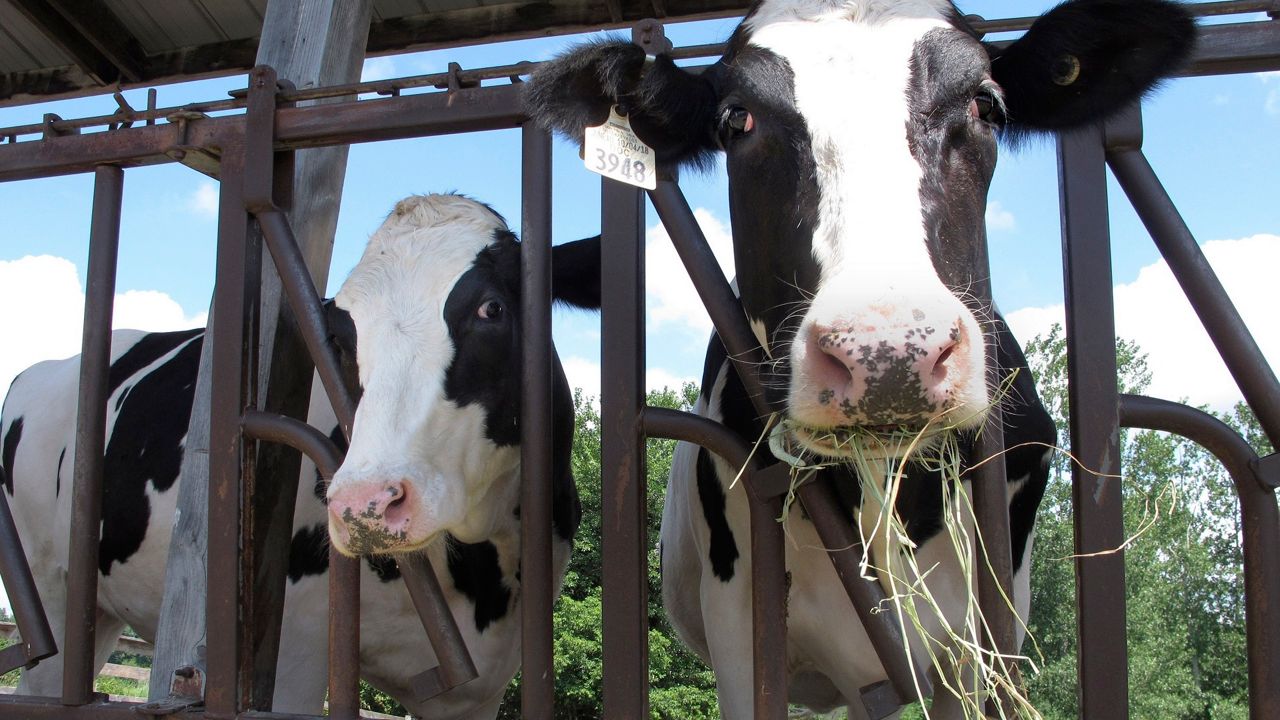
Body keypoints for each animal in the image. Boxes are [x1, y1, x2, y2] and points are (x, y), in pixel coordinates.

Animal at [1, 192, 599, 717]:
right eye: (338, 336)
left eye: (490, 307)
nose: (365, 504)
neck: (480, 573)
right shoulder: (293, 648)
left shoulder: (480, 686)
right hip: (50, 591)